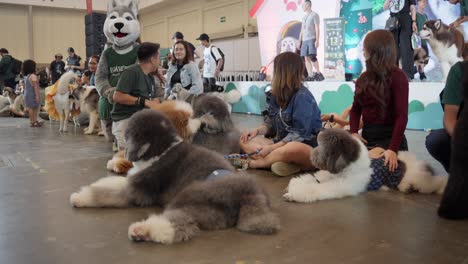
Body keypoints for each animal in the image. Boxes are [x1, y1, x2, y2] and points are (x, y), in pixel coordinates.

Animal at [69, 110, 278, 244]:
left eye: (129, 134)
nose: (124, 151)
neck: (161, 150)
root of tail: (250, 193)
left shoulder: (137, 191)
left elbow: (105, 194)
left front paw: (79, 197)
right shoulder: (133, 179)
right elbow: (111, 183)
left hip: (191, 195)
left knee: (177, 223)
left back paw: (141, 230)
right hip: (208, 211)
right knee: (185, 225)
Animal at [284, 128, 448, 202]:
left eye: (321, 146)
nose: (311, 154)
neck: (346, 170)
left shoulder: (338, 186)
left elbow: (317, 189)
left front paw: (294, 194)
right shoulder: (325, 177)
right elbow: (311, 179)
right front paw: (291, 190)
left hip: (420, 180)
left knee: (434, 182)